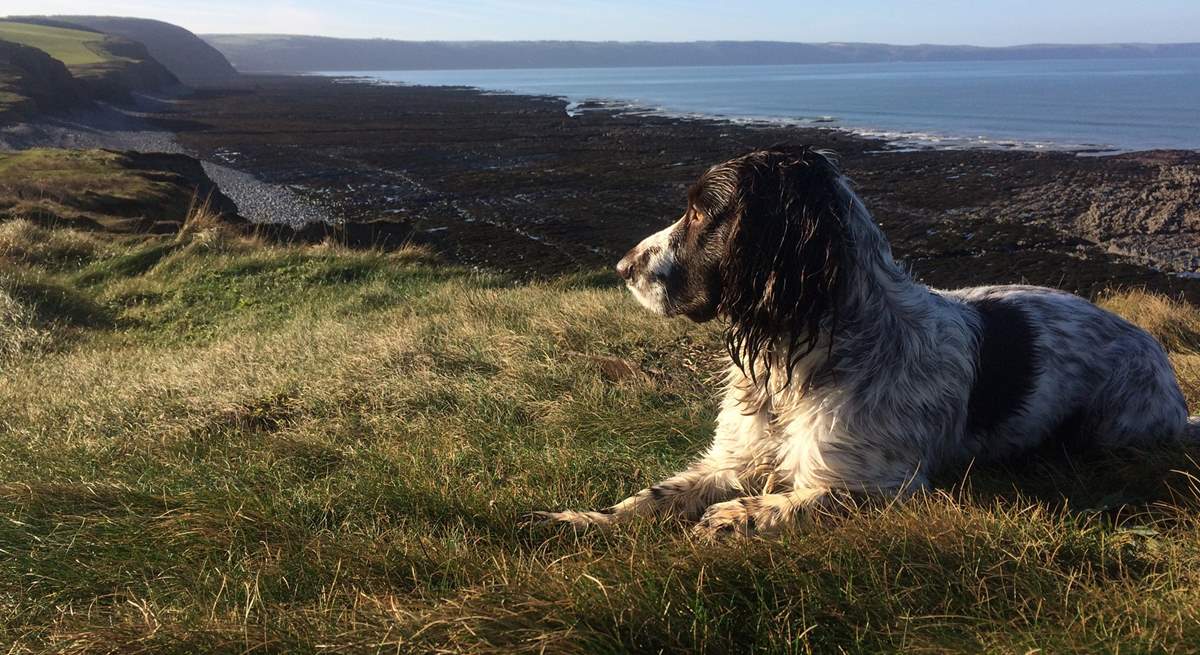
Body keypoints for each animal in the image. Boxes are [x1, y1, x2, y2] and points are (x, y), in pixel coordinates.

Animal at [535, 143, 1190, 535]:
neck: (794, 365)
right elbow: (654, 495)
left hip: (1112, 428)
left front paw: (730, 517)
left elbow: (786, 501)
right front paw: (579, 520)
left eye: (701, 214)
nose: (622, 267)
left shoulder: (881, 483)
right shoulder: (734, 457)